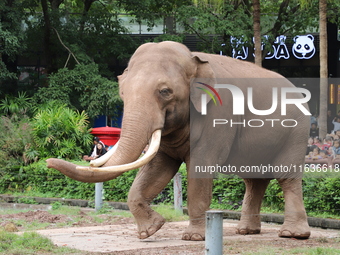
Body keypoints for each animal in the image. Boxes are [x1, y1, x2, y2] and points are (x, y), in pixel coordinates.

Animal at [47, 40, 310, 241]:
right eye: (122, 93)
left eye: (165, 92)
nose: (49, 162)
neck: (192, 59)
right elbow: (157, 169)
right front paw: (150, 231)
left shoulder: (220, 114)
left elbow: (200, 169)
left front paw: (193, 237)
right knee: (254, 180)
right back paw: (246, 232)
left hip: (297, 131)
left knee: (286, 177)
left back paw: (292, 234)